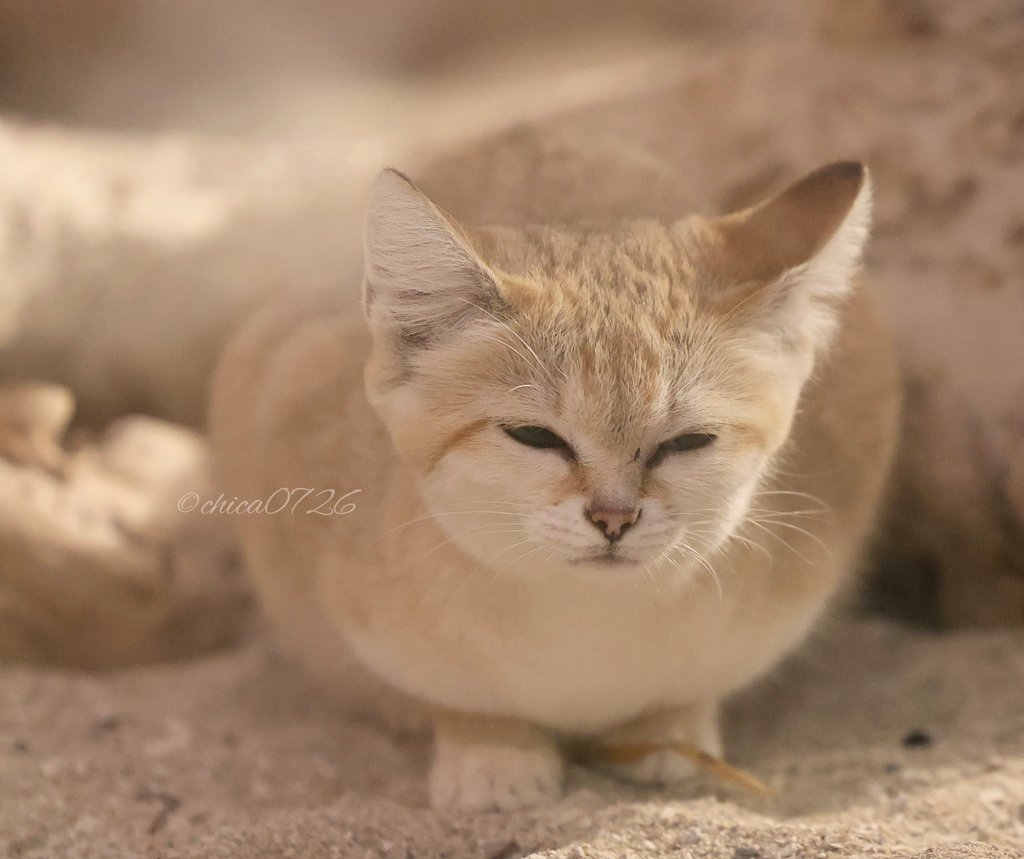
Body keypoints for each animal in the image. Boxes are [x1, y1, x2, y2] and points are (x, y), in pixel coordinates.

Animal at [207, 129, 897, 814]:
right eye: (535, 436)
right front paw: (493, 752)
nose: (614, 518)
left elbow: (686, 693)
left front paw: (668, 733)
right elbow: (463, 700)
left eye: (688, 442)